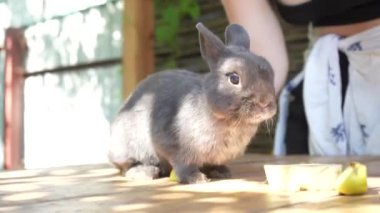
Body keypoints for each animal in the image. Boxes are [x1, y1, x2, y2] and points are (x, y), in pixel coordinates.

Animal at [107, 22, 276, 184]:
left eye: (271, 72)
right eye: (234, 78)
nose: (265, 102)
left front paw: (221, 172)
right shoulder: (171, 145)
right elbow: (183, 164)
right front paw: (196, 178)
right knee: (125, 167)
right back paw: (145, 172)